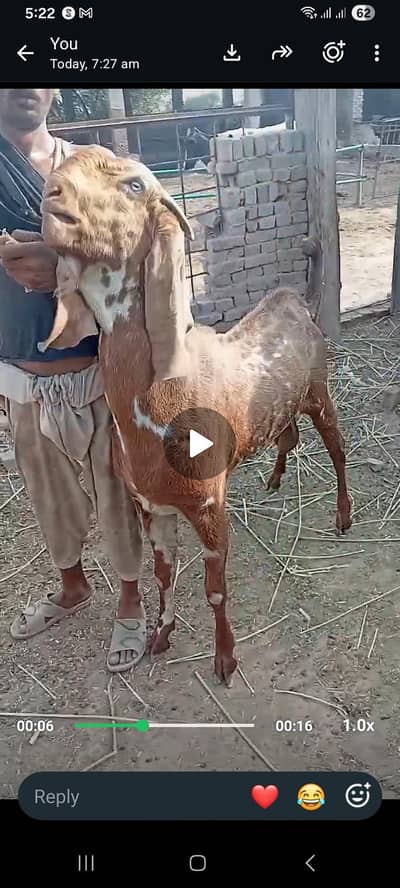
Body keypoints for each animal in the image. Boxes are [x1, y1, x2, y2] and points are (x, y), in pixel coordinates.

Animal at [40, 147, 353, 686]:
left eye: (136, 185)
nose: (51, 196)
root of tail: (294, 301)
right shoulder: (151, 506)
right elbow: (164, 576)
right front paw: (159, 637)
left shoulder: (208, 505)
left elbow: (215, 589)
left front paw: (225, 660)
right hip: (280, 406)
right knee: (287, 435)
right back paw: (274, 479)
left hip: (319, 390)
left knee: (336, 448)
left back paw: (343, 516)